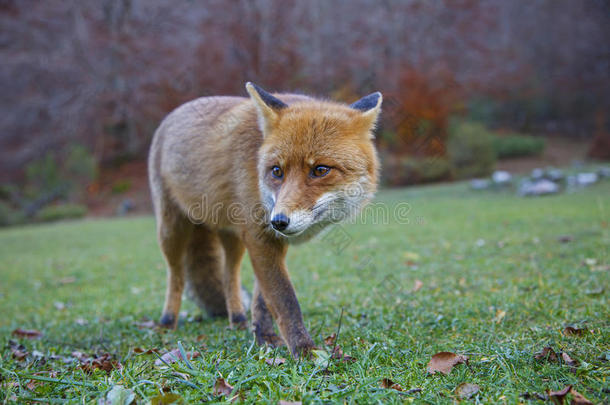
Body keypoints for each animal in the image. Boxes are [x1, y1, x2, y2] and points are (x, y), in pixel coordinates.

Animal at [147, 83, 380, 356]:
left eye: (320, 170)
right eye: (277, 171)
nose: (278, 221)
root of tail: (174, 112)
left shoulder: (268, 238)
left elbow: (263, 298)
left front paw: (264, 336)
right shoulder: (259, 235)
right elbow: (284, 299)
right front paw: (304, 350)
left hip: (233, 238)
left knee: (229, 276)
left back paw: (237, 319)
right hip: (172, 232)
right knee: (176, 275)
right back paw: (167, 322)